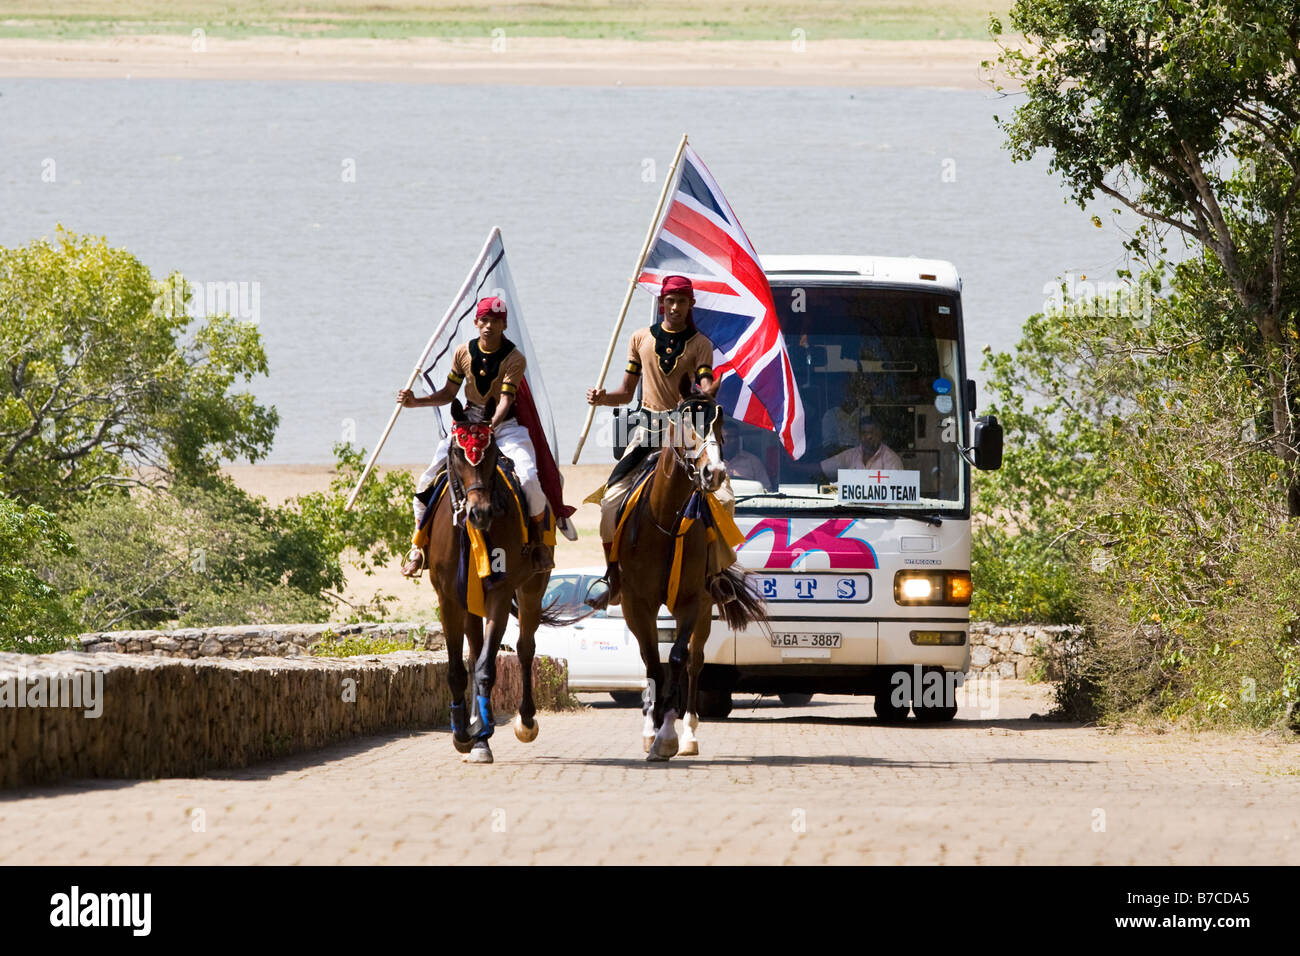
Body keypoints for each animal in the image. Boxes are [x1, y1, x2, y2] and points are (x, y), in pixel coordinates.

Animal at [426, 395, 569, 764]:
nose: (480, 512)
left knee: (525, 648)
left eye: (491, 454)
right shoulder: (448, 598)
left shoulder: (501, 595)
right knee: (475, 651)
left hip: (533, 588)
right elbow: (459, 668)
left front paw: (481, 735)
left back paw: (526, 722)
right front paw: (463, 733)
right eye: (457, 452)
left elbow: (488, 667)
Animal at [613, 377, 764, 759]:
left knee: (696, 661)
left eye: (720, 426)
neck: (665, 519)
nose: (715, 473)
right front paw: (652, 728)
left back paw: (690, 734)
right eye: (685, 424)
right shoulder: (637, 604)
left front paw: (667, 733)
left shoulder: (693, 602)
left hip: (707, 606)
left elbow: (679, 659)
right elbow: (652, 661)